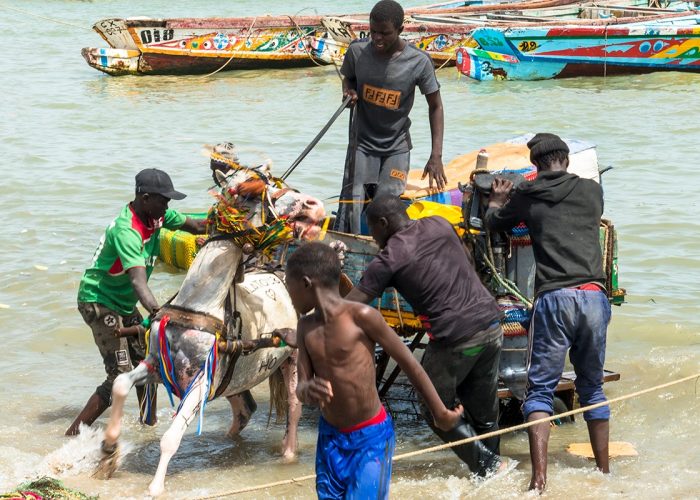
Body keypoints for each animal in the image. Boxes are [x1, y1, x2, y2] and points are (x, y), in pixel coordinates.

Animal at [98, 163, 326, 496]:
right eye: (251, 192)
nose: (313, 204)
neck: (199, 305)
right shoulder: (156, 364)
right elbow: (120, 384)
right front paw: (109, 448)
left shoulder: (202, 382)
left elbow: (171, 437)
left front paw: (155, 487)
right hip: (237, 375)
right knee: (244, 410)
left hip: (294, 360)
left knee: (294, 409)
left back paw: (287, 455)